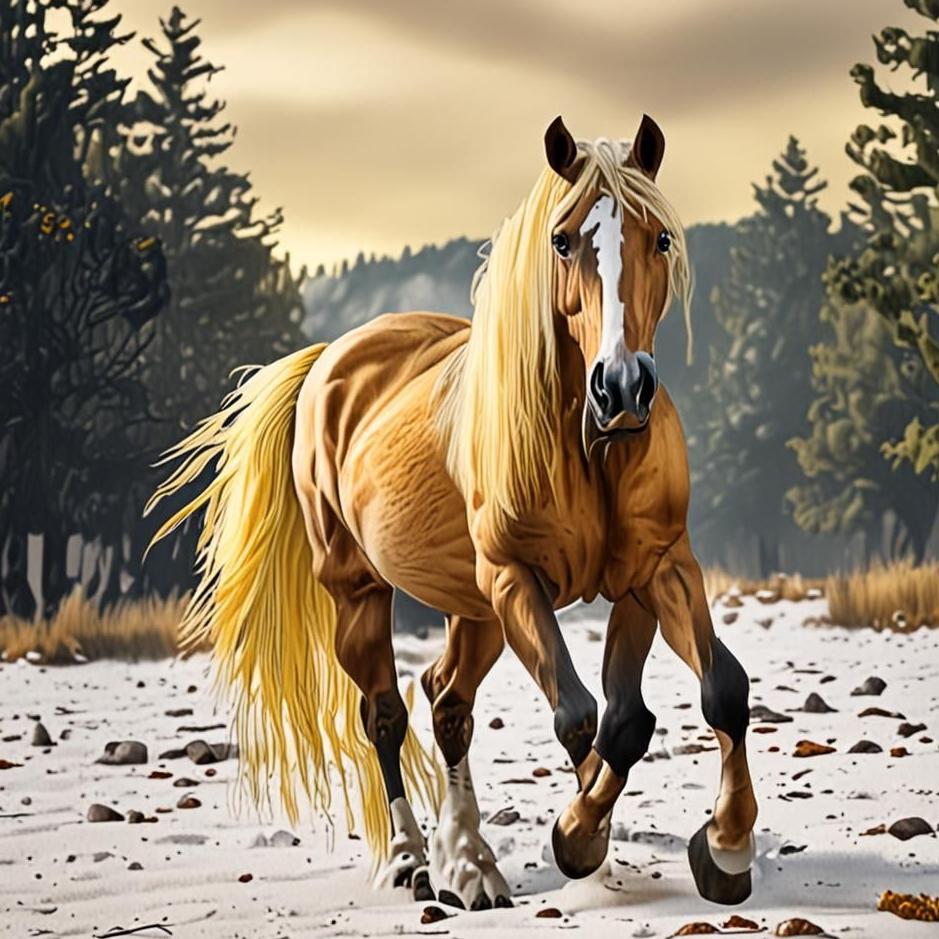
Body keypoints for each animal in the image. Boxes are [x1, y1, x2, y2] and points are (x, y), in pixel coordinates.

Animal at [149, 114, 758, 910]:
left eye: (658, 237)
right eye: (562, 240)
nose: (622, 389)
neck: (584, 446)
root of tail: (328, 361)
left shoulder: (654, 572)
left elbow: (691, 699)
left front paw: (723, 847)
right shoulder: (515, 578)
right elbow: (581, 716)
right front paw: (578, 837)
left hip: (473, 608)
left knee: (447, 703)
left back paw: (470, 864)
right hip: (365, 592)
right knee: (385, 712)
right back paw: (412, 861)